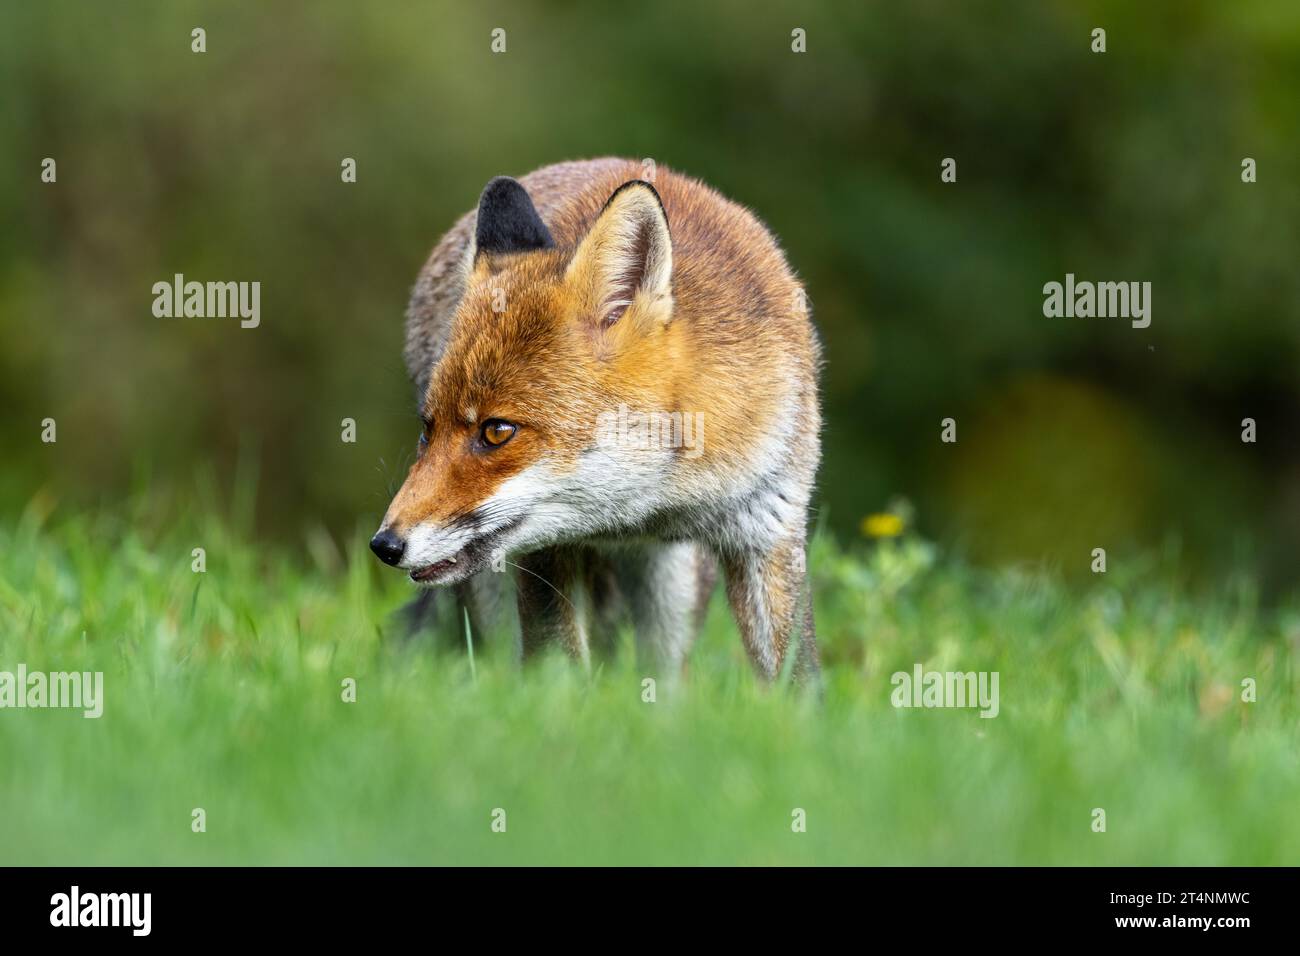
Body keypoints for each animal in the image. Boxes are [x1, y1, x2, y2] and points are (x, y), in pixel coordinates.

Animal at [371, 158, 822, 682]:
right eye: (428, 430)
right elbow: (557, 669)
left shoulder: (770, 532)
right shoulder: (545, 553)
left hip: (673, 592)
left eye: (497, 431)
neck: (645, 508)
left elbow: (798, 679)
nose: (384, 545)